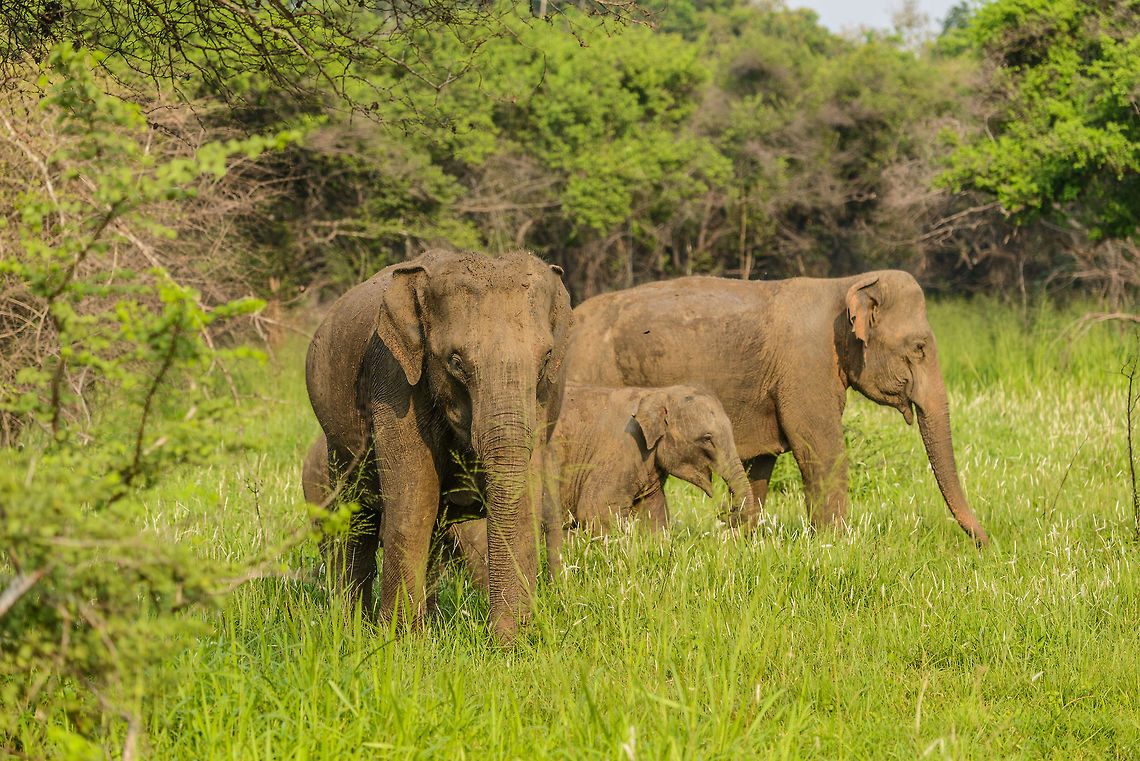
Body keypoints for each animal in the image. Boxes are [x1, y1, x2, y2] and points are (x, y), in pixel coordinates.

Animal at [305, 249, 571, 642]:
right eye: (456, 362)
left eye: (546, 359)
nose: (500, 639)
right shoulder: (394, 380)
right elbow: (415, 497)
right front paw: (397, 641)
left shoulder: (546, 395)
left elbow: (524, 500)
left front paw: (514, 640)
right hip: (337, 439)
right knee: (359, 517)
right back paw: (355, 628)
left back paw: (427, 624)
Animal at [445, 383, 759, 587]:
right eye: (707, 439)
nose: (726, 511)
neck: (656, 392)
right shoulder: (619, 453)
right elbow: (596, 513)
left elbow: (654, 519)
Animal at [563, 270, 989, 547]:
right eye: (919, 348)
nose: (985, 545)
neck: (845, 285)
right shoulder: (806, 366)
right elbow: (821, 449)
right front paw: (834, 548)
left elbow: (761, 462)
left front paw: (741, 544)